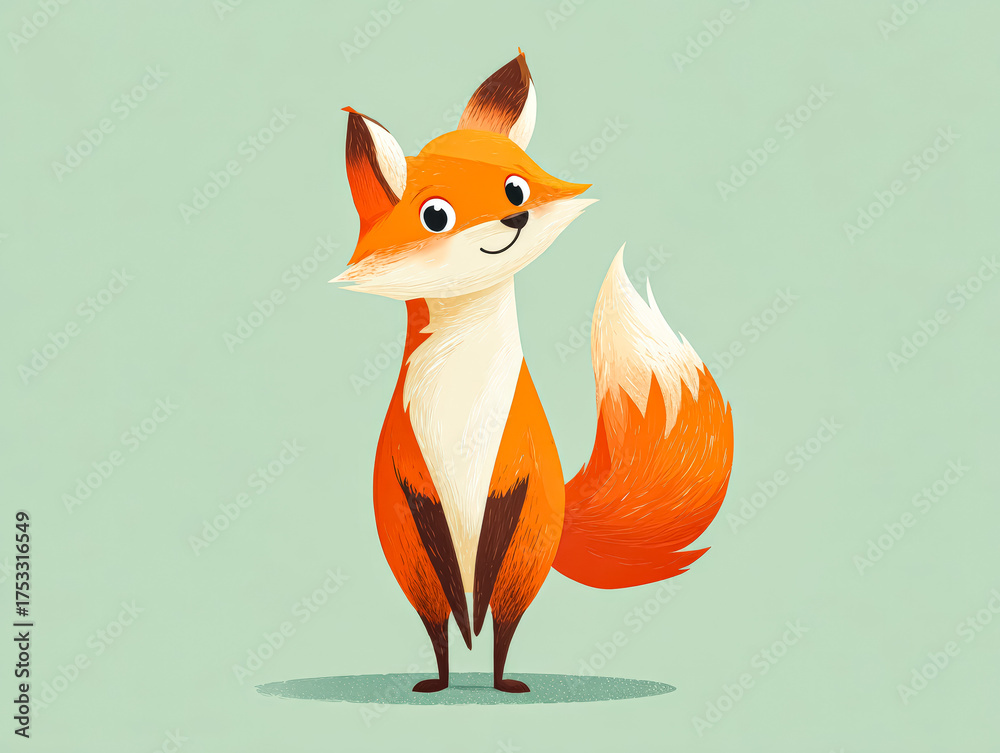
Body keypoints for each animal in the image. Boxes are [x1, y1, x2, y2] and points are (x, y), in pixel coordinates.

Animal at [333, 51, 734, 694]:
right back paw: (443, 680)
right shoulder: (409, 467)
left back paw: (500, 681)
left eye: (514, 187)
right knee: (445, 624)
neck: (463, 391)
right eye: (436, 215)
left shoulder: (515, 459)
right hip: (414, 561)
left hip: (521, 557)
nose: (514, 218)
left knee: (498, 624)